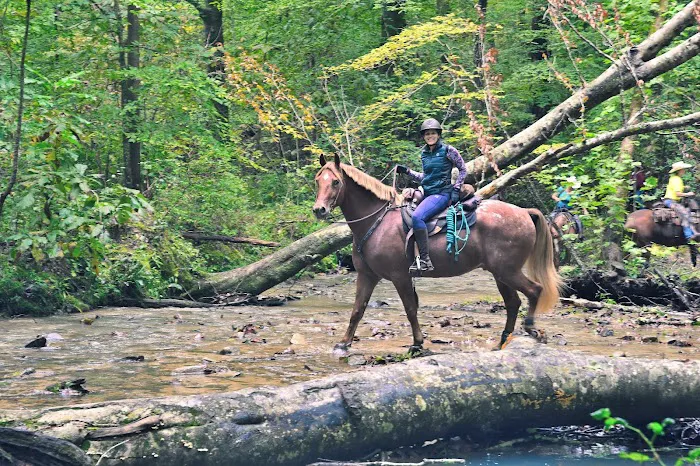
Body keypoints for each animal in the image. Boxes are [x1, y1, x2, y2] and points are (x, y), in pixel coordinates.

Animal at [312, 154, 562, 354]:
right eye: (317, 180)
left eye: (335, 181)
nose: (319, 210)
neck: (377, 222)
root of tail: (525, 212)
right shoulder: (367, 275)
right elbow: (358, 310)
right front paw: (344, 343)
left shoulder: (400, 276)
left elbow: (410, 309)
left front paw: (417, 343)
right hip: (500, 274)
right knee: (513, 303)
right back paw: (502, 342)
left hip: (508, 271)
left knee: (534, 290)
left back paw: (531, 328)